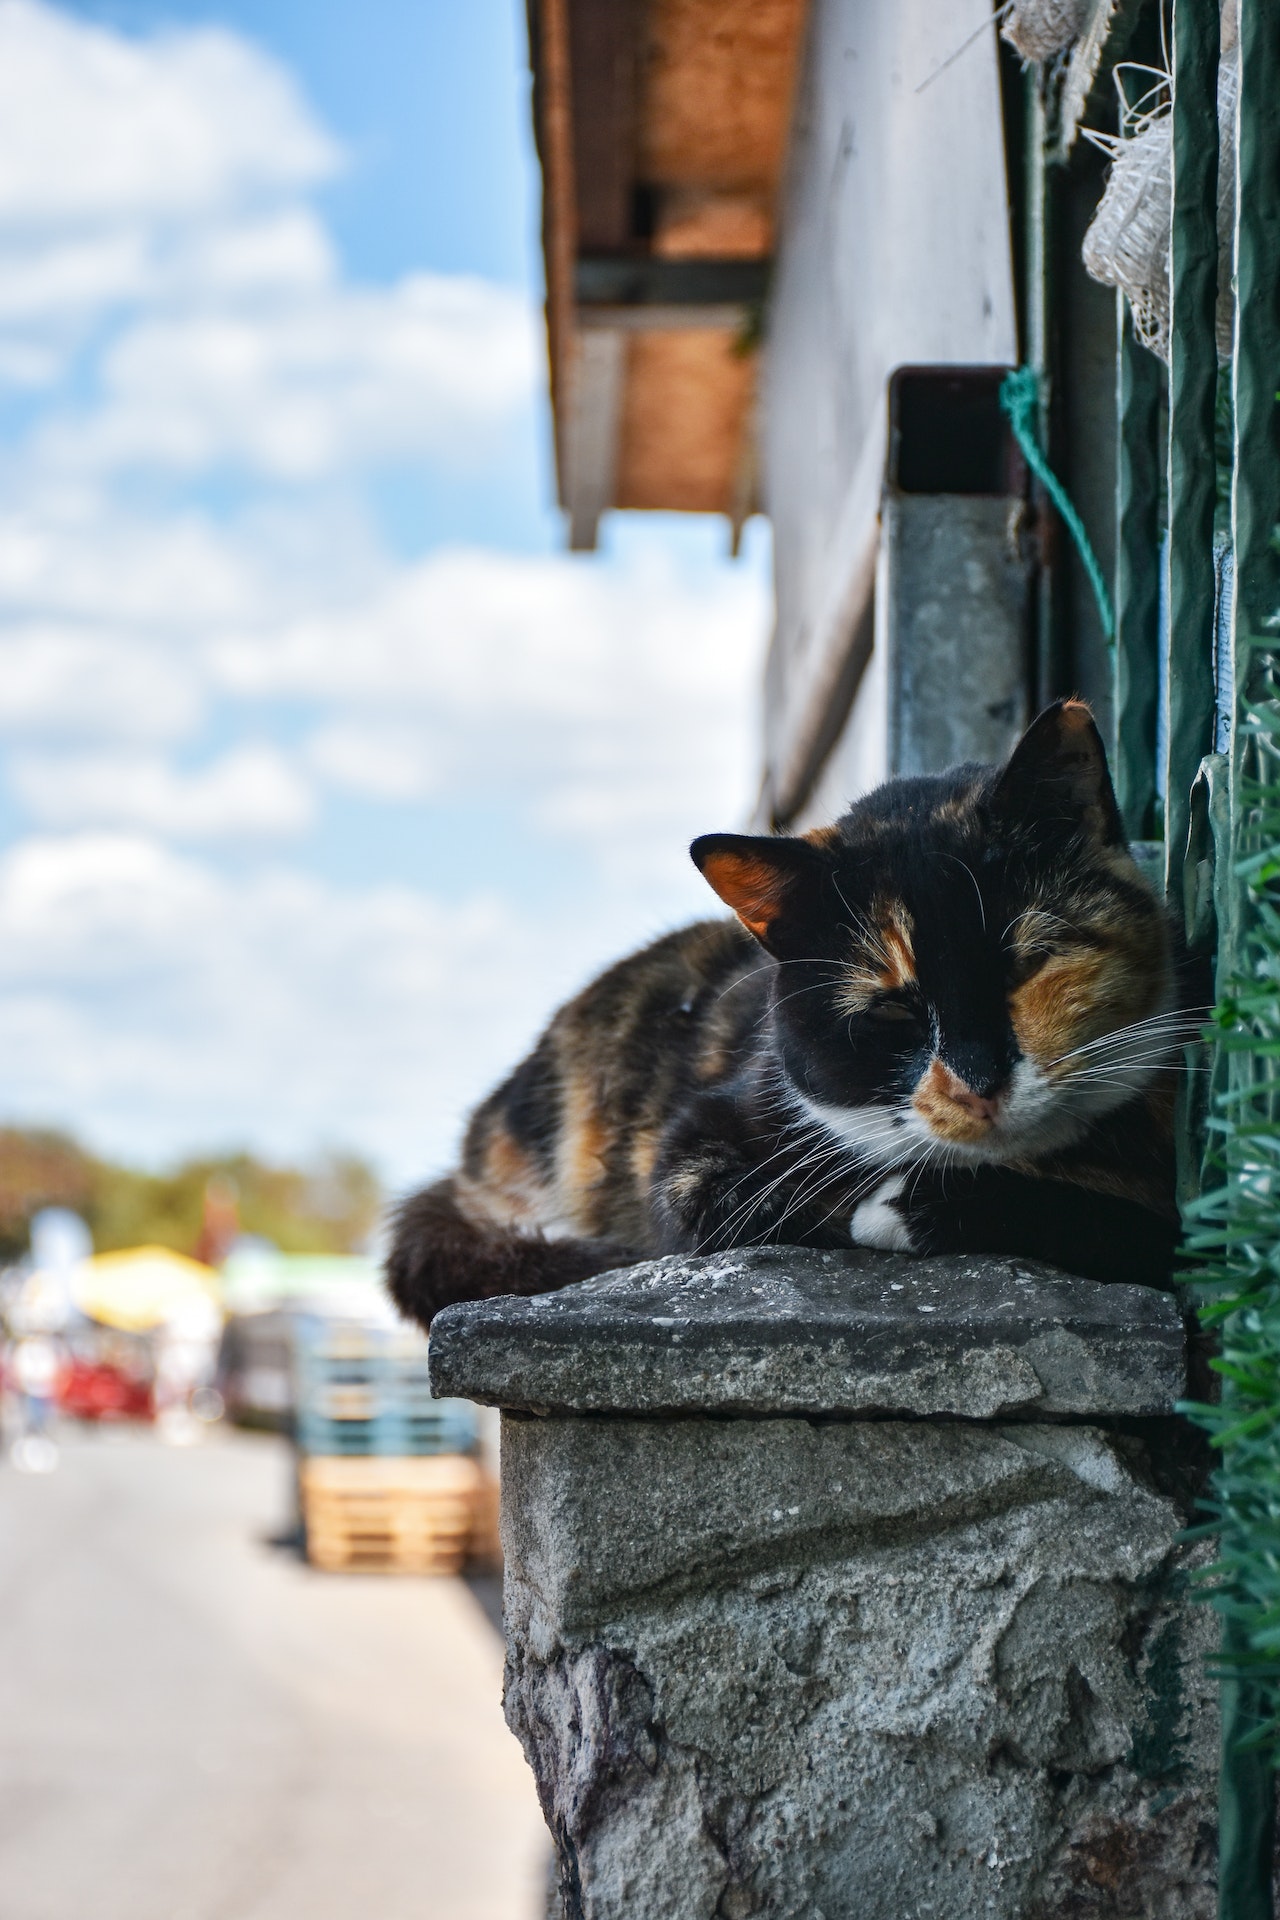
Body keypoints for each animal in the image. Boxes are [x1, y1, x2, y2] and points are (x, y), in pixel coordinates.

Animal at [387, 698, 1182, 1328]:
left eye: (1025, 965)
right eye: (892, 1012)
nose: (979, 1080)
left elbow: (1129, 1228)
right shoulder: (700, 1138)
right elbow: (734, 1208)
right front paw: (878, 1204)